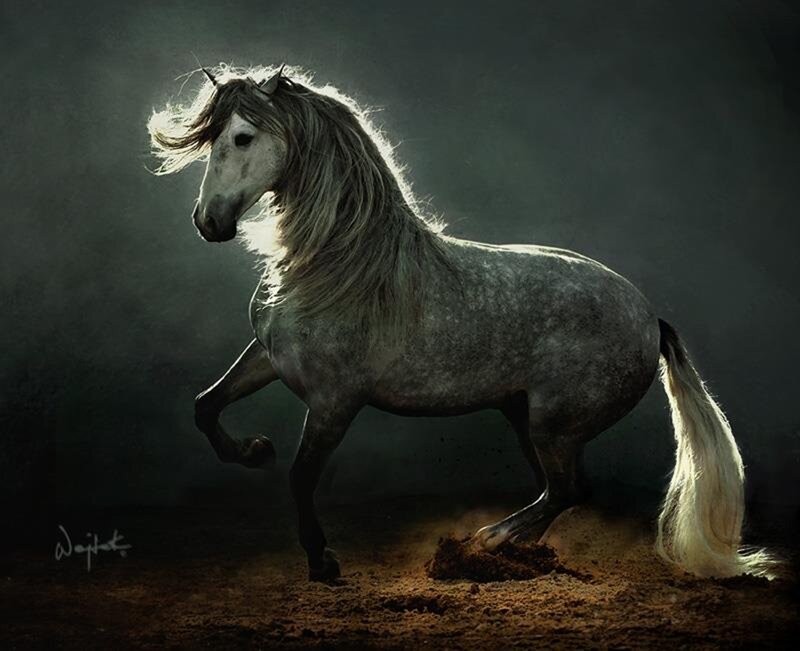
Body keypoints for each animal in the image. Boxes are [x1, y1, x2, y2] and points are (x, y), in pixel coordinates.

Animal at [148, 64, 776, 582]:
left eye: (242, 137)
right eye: (211, 139)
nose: (208, 222)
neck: (341, 267)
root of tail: (649, 317)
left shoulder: (333, 401)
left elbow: (301, 477)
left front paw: (321, 561)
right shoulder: (268, 358)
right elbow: (206, 405)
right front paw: (253, 452)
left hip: (554, 425)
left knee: (568, 489)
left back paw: (488, 540)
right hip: (527, 419)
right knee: (563, 491)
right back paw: (507, 548)